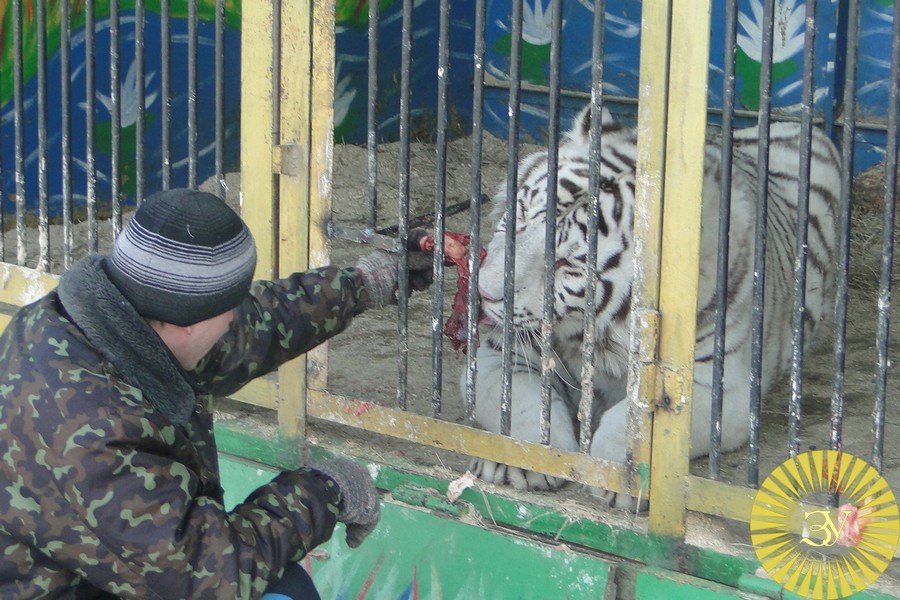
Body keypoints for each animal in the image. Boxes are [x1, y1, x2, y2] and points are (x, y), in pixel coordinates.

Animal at [468, 104, 840, 506]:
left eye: (567, 265)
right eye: (521, 215)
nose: (483, 292)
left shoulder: (714, 390)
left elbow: (634, 423)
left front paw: (619, 476)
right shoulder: (500, 355)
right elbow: (523, 402)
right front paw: (519, 459)